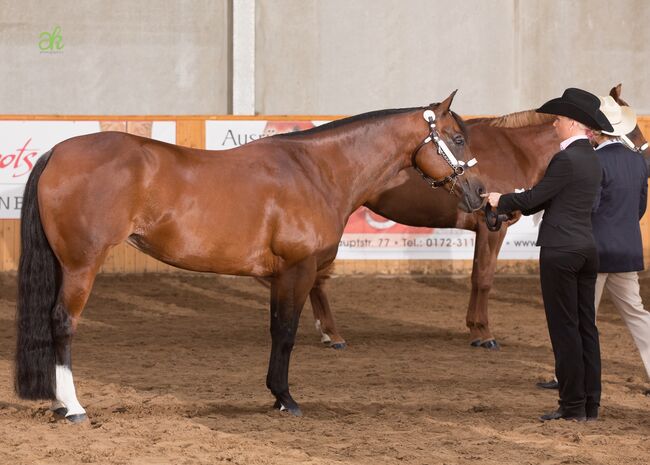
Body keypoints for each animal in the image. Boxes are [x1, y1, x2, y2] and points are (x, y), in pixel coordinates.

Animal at [13, 90, 486, 420]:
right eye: (457, 138)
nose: (480, 193)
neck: (317, 171)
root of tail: (58, 152)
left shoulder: (280, 276)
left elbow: (277, 331)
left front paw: (277, 396)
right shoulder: (298, 270)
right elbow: (288, 333)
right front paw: (287, 399)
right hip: (81, 264)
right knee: (63, 322)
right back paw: (72, 406)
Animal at [312, 84, 644, 352]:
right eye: (628, 128)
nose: (643, 155)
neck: (517, 150)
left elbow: (476, 276)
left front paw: (473, 327)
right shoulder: (492, 227)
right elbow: (483, 279)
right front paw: (484, 334)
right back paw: (331, 334)